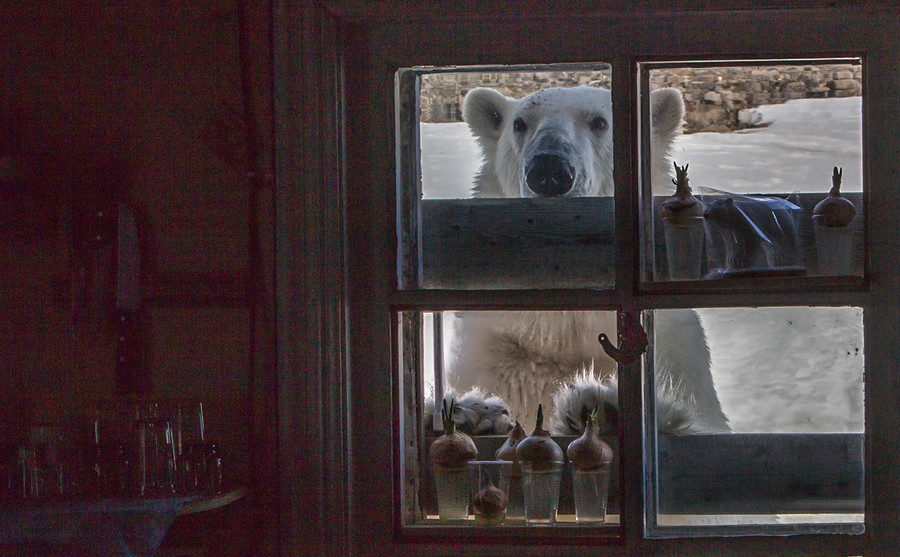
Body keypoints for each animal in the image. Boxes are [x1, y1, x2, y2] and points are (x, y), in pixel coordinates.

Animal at [435, 85, 730, 436]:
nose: (549, 171)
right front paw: (475, 412)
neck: (563, 335)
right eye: (519, 124)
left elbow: (707, 421)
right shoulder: (495, 353)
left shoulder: (675, 353)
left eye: (600, 122)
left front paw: (608, 407)